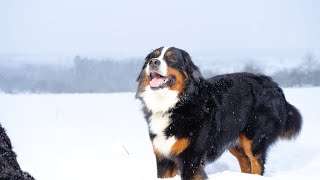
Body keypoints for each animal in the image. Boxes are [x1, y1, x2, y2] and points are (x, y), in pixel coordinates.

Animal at [135, 47, 302, 179]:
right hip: (234, 139)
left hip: (255, 139)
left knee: (256, 164)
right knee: (245, 163)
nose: (153, 62)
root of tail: (275, 86)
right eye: (153, 56)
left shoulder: (191, 159)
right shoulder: (163, 158)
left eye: (171, 59)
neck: (174, 104)